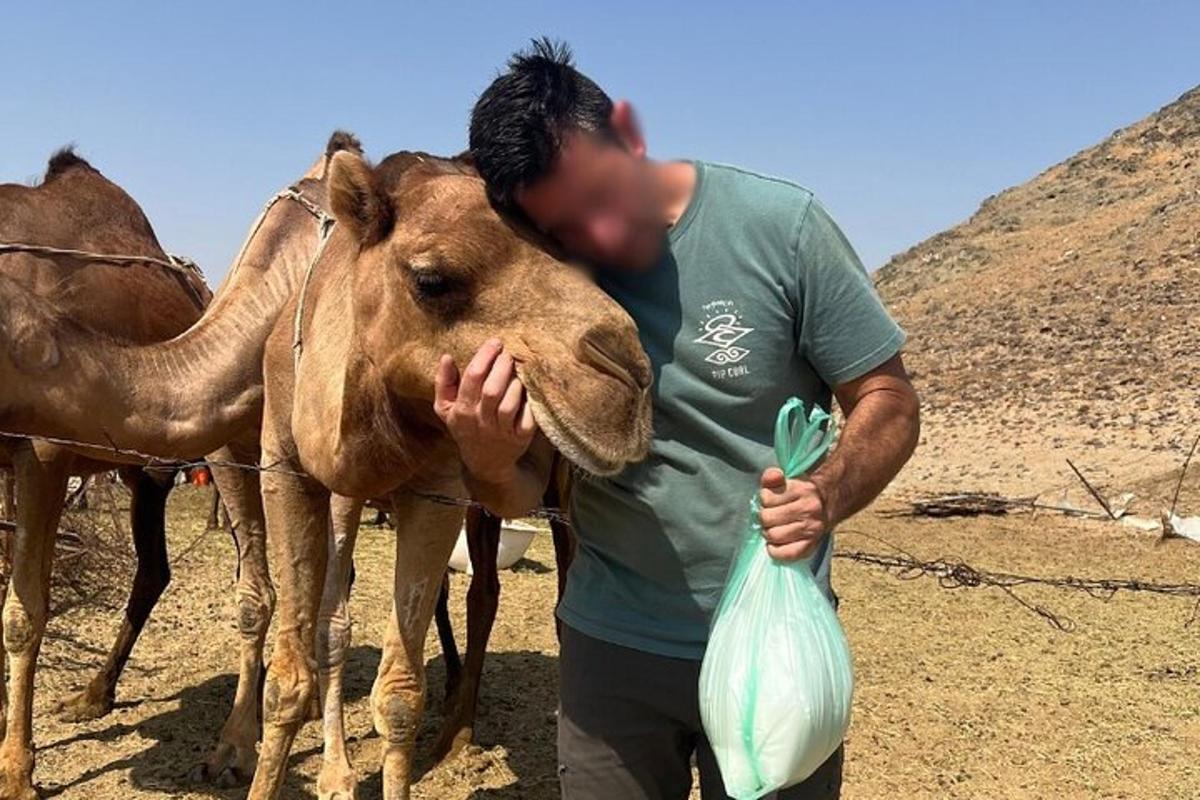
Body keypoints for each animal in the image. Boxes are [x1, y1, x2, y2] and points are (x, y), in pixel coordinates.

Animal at [2, 140, 657, 796]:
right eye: (431, 280)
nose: (627, 373)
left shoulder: (422, 483)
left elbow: (373, 665)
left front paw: (336, 773)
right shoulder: (255, 460)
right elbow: (270, 622)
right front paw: (236, 747)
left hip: (563, 486)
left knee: (558, 594)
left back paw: (470, 733)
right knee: (480, 590)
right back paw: (453, 723)